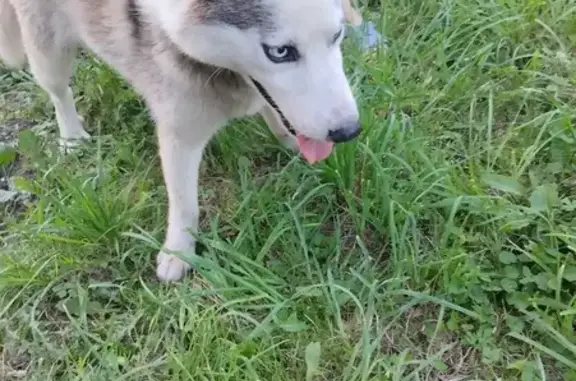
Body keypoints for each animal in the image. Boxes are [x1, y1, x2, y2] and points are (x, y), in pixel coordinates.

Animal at [0, 0, 360, 280]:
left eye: (337, 35)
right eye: (280, 52)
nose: (349, 131)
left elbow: (276, 113)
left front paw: (289, 142)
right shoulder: (179, 131)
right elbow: (185, 203)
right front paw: (179, 252)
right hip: (47, 46)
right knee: (58, 89)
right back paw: (72, 135)